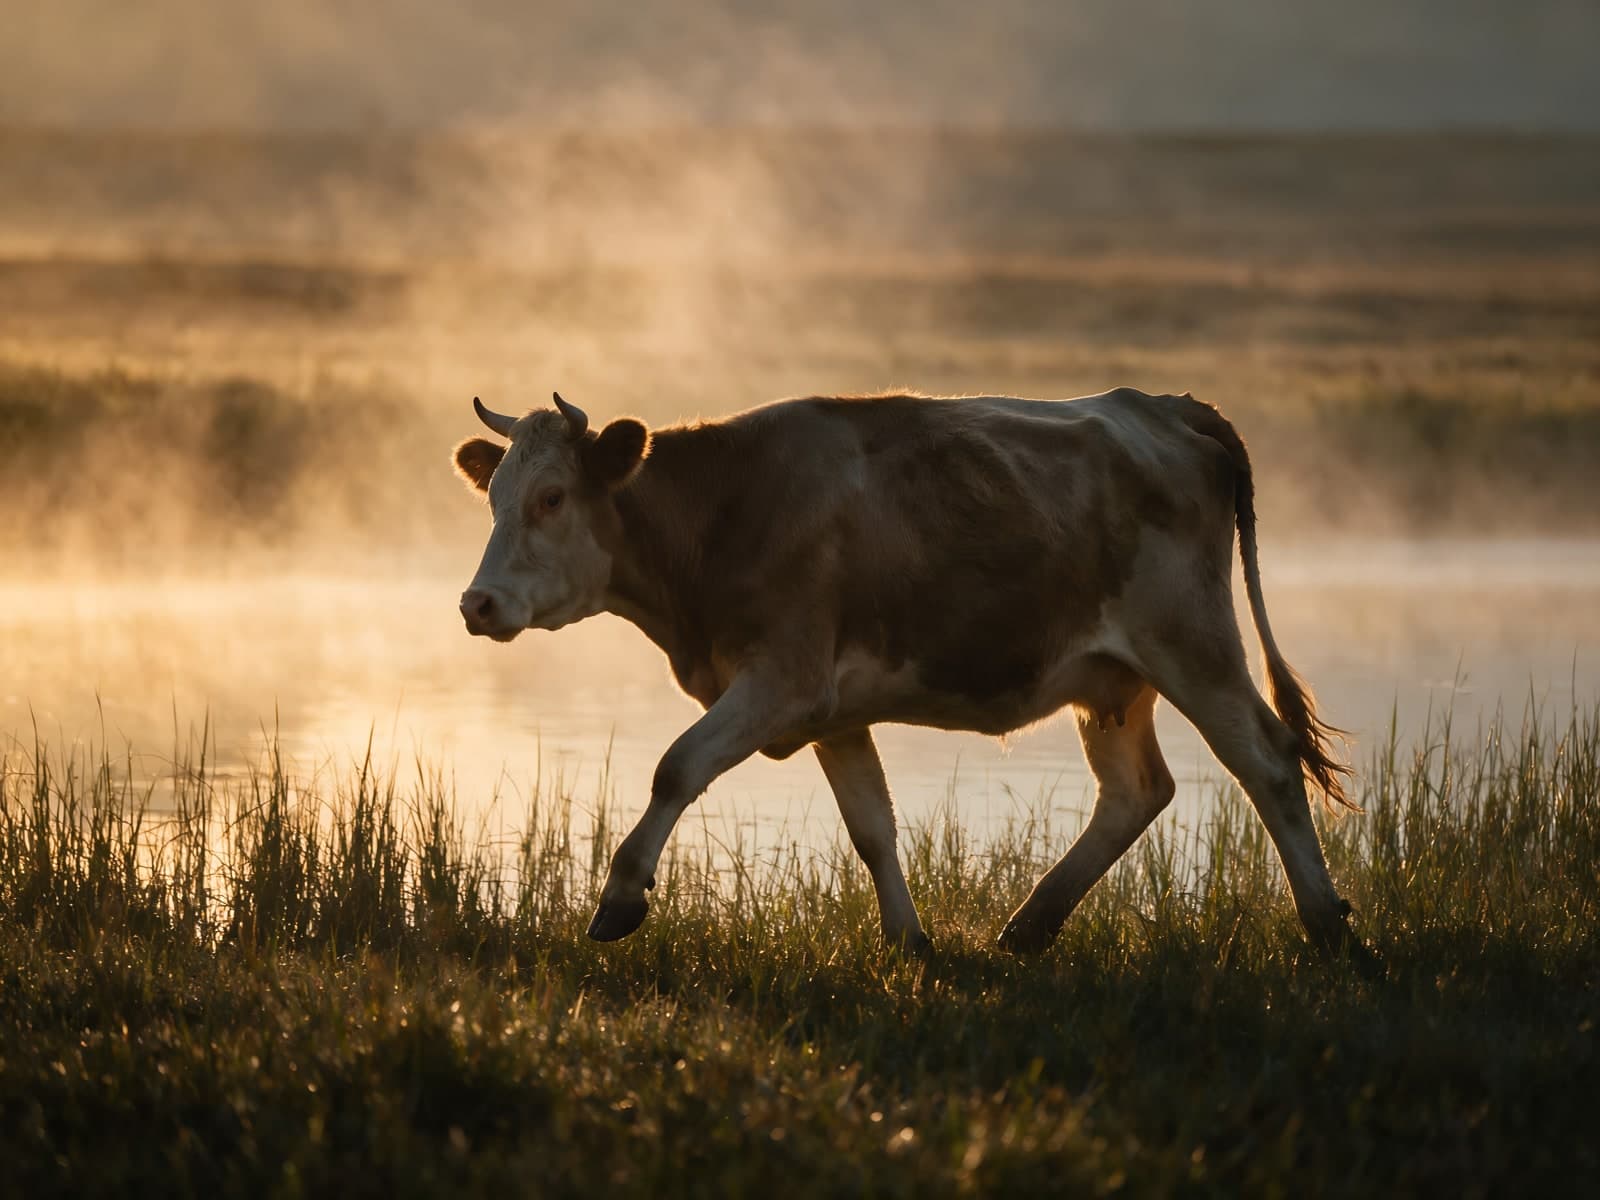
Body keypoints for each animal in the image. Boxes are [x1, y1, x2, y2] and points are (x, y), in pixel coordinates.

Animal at [452, 388, 1360, 958]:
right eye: (492, 497)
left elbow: (676, 766)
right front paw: (910, 942)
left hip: (1192, 642)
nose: (477, 603)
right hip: (1112, 676)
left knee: (1267, 761)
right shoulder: (832, 710)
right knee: (1137, 790)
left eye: (552, 497)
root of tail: (1165, 406)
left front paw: (620, 898)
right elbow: (872, 825)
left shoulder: (782, 678)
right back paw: (1029, 927)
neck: (723, 513)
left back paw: (1329, 929)